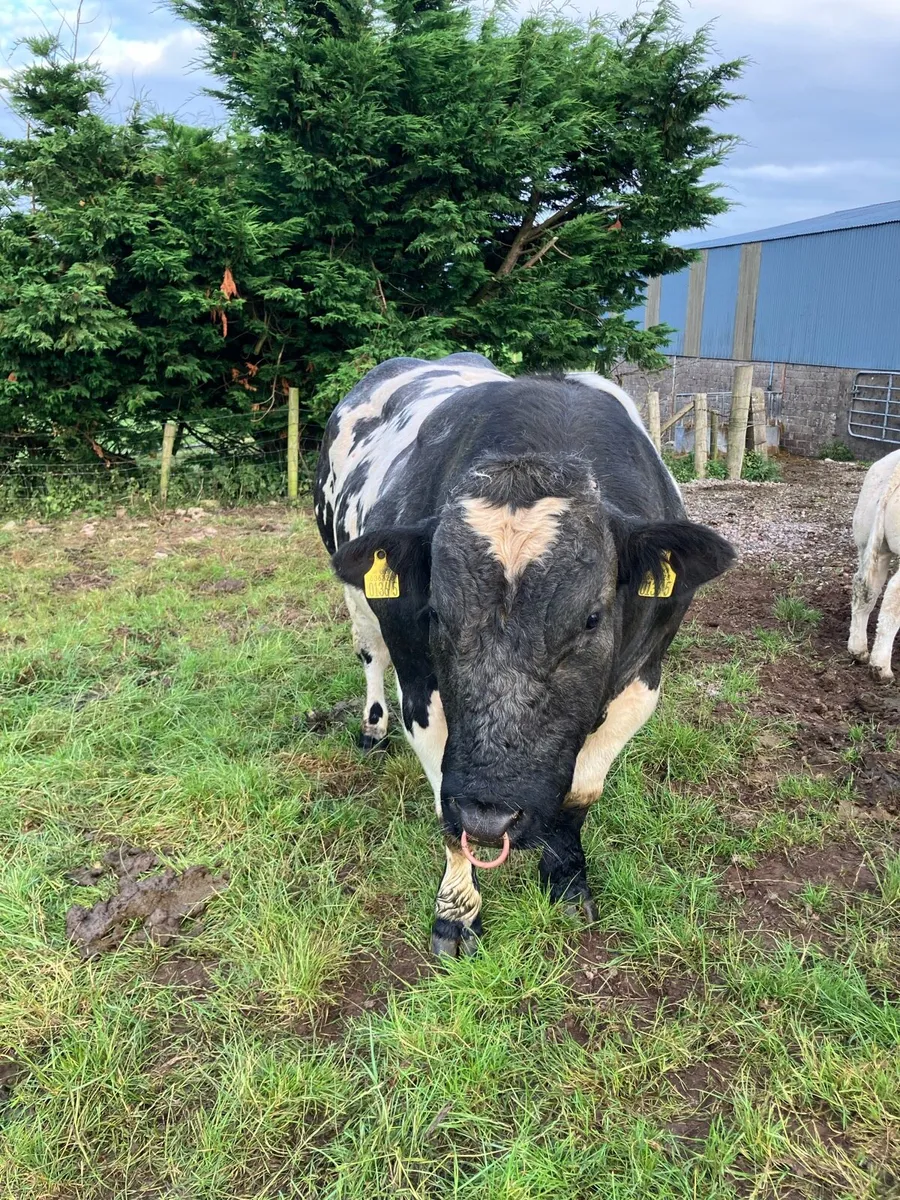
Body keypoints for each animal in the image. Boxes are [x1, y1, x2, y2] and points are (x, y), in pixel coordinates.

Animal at [314, 353, 735, 956]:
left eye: (591, 618)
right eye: (437, 612)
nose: (492, 814)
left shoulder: (643, 681)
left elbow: (582, 792)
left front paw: (566, 879)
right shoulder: (421, 688)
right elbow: (448, 810)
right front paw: (456, 913)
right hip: (354, 587)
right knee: (370, 652)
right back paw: (373, 729)